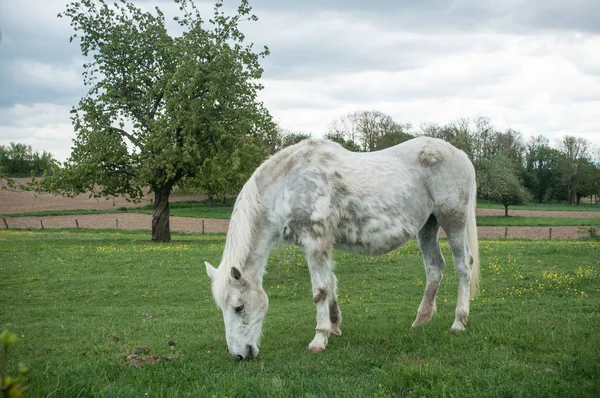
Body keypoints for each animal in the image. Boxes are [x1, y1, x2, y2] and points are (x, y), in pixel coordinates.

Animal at [205, 137, 478, 360]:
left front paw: (319, 339)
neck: (288, 183)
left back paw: (459, 322)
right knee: (434, 268)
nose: (239, 355)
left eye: (239, 307)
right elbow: (331, 284)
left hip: (453, 222)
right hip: (428, 226)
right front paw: (334, 327)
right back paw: (420, 321)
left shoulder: (315, 240)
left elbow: (320, 291)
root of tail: (460, 154)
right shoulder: (322, 244)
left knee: (463, 266)